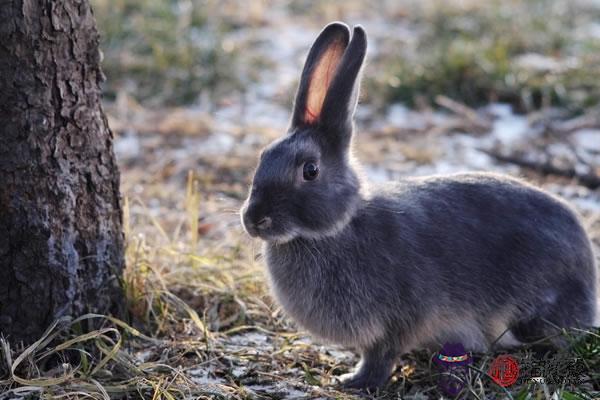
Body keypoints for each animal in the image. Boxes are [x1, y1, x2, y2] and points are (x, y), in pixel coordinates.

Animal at [240, 22, 600, 390]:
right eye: (264, 156)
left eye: (310, 170)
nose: (254, 220)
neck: (338, 229)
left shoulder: (399, 320)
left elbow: (381, 355)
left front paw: (354, 381)